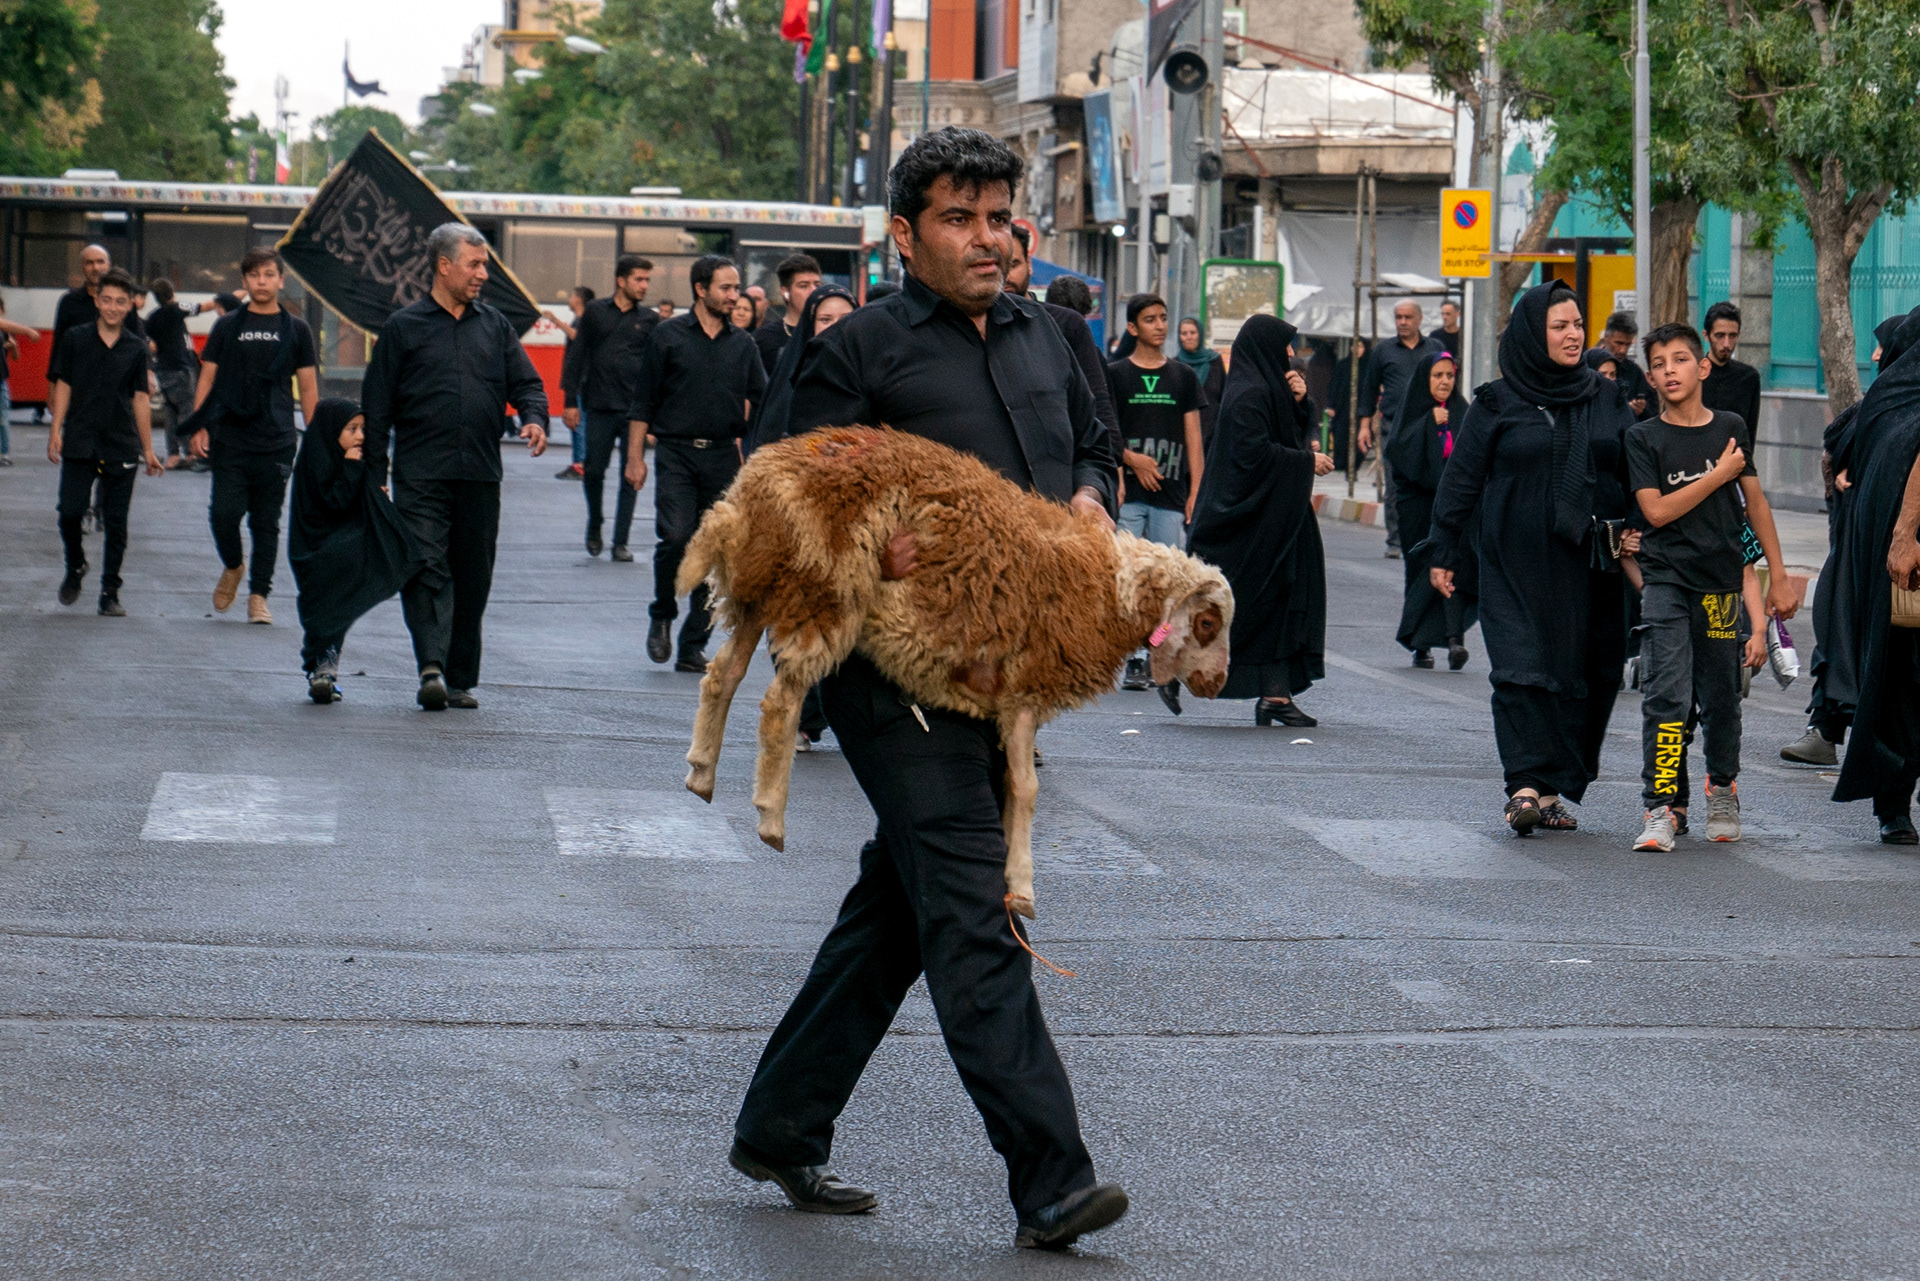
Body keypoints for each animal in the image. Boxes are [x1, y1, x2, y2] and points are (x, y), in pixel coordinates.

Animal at [675, 425, 1233, 922]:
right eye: (1208, 623)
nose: (1217, 685)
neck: (1103, 589)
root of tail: (757, 480)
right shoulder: (1023, 691)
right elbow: (1026, 788)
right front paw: (1022, 887)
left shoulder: (1008, 701)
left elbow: (1011, 784)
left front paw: (1010, 874)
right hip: (825, 588)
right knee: (780, 699)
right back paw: (770, 815)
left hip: (767, 580)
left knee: (723, 673)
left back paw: (702, 772)